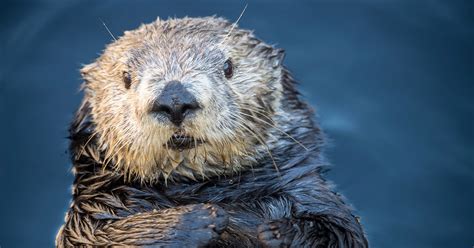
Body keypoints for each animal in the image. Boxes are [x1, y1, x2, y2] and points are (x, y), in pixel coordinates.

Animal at [54, 16, 366, 247]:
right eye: (126, 77)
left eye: (228, 67)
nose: (175, 99)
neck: (204, 189)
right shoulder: (92, 206)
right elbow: (92, 238)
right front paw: (198, 220)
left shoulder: (309, 190)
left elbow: (343, 232)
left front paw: (276, 232)